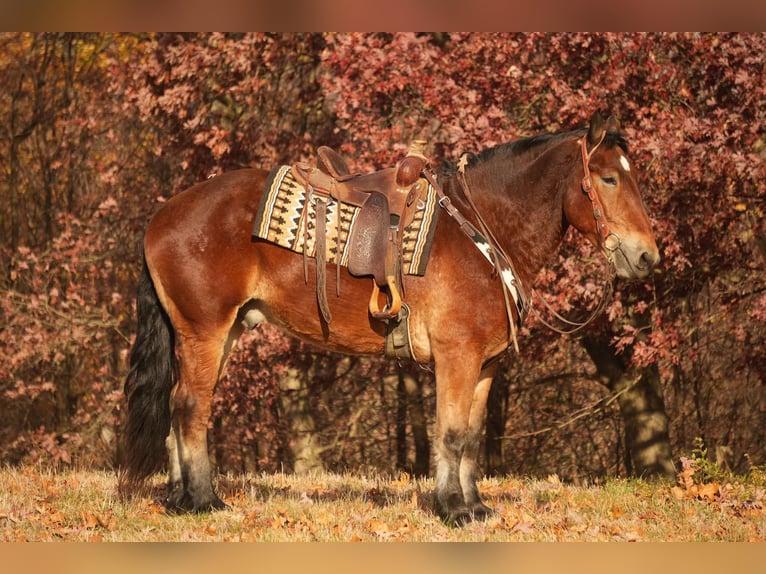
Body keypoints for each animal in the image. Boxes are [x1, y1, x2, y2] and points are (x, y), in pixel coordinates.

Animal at [120, 111, 660, 528]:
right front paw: (451, 509)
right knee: (191, 407)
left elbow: (472, 436)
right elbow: (451, 433)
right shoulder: (457, 357)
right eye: (609, 178)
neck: (479, 231)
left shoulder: (484, 366)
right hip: (206, 330)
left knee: (177, 403)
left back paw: (177, 498)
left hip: (222, 331)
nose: (647, 257)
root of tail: (162, 216)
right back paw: (203, 501)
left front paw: (475, 507)